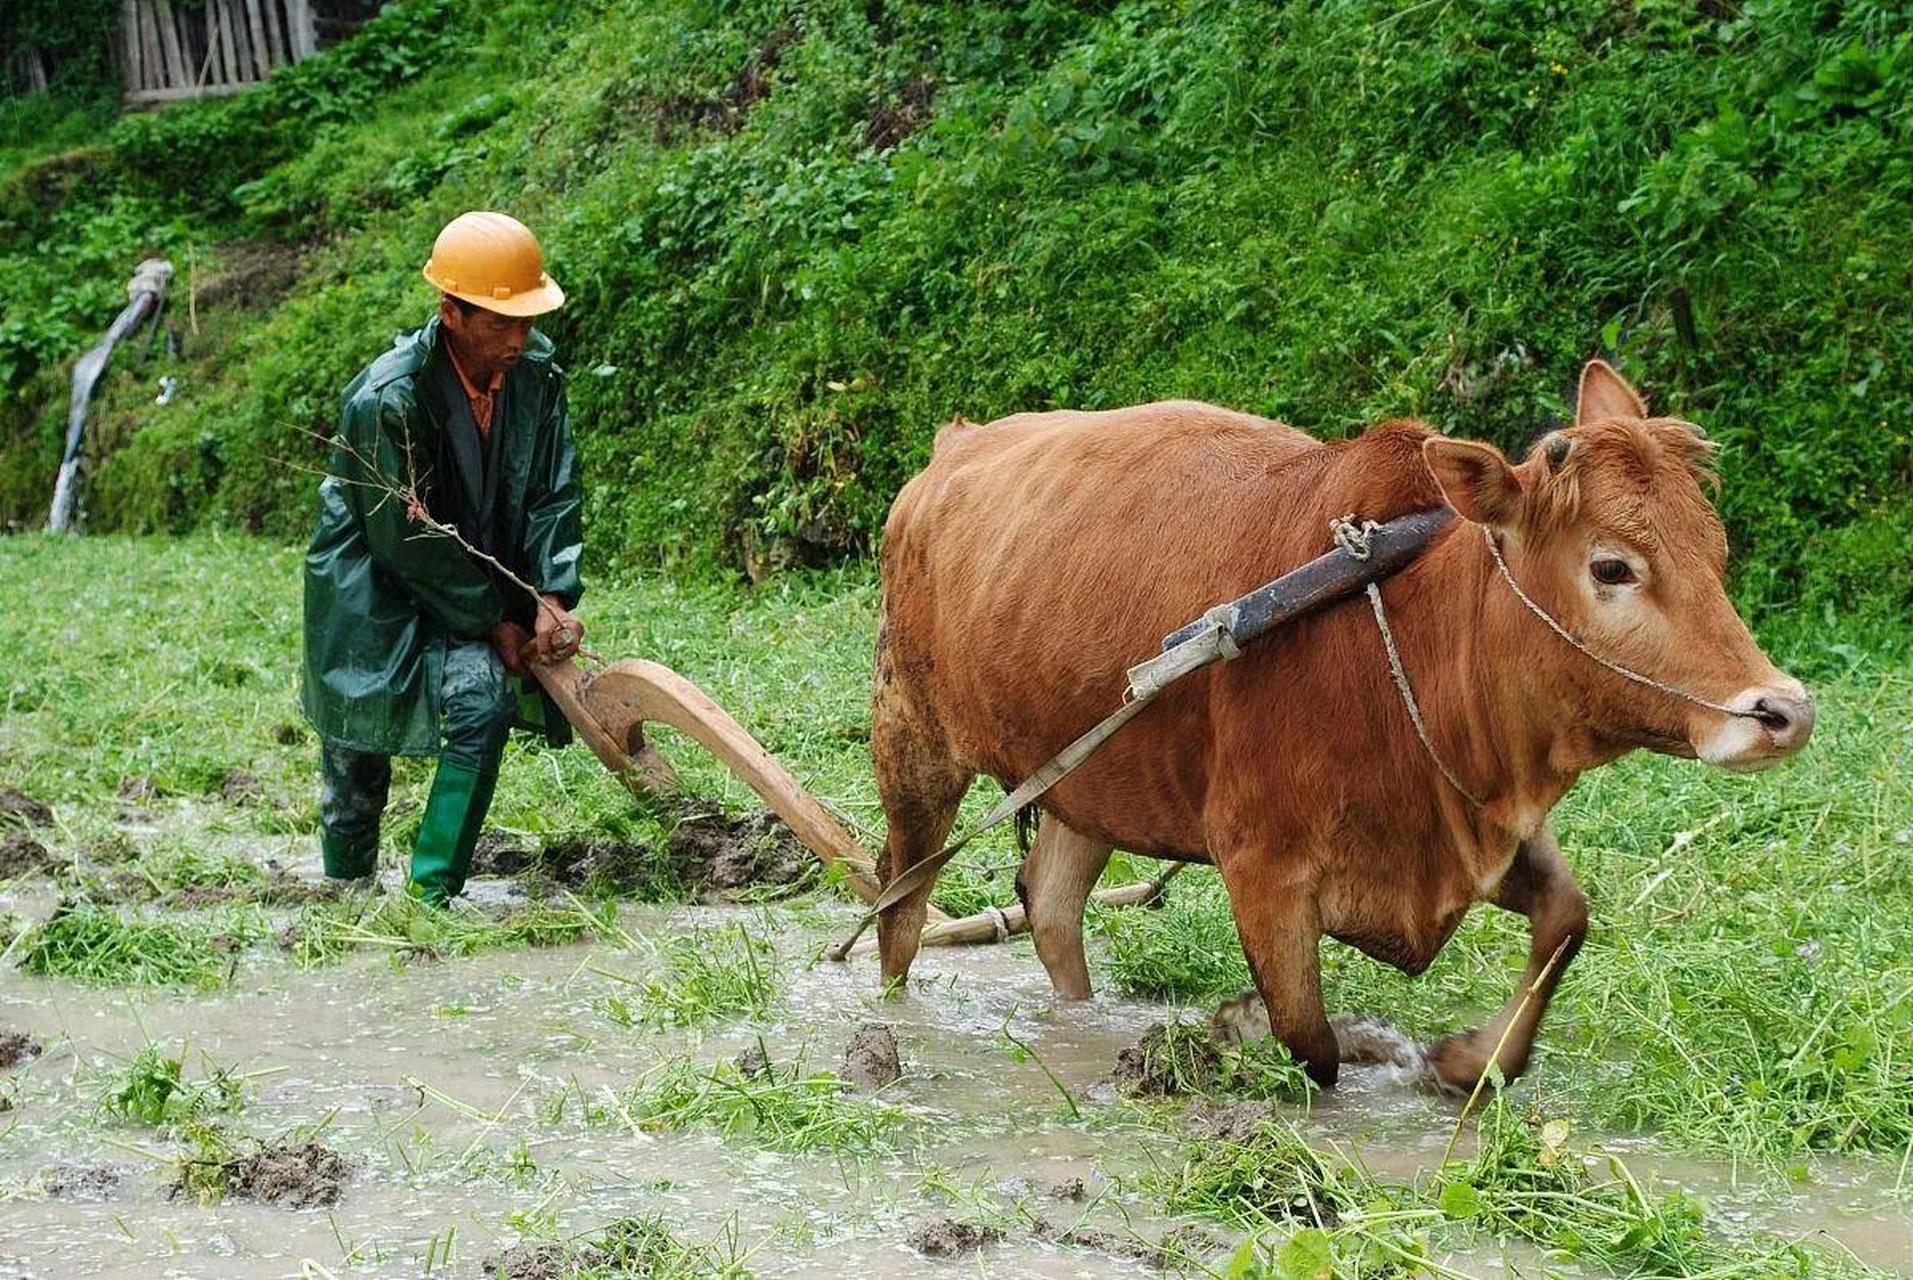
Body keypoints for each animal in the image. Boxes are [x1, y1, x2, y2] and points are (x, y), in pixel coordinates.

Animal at [876, 357, 1813, 1086]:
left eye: (1716, 553)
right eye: (1612, 567)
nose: (1784, 712)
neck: (1405, 632)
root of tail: (951, 448)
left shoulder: (1474, 819)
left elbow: (1566, 919)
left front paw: (1469, 1059)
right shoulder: (1263, 874)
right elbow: (1313, 1047)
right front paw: (1250, 1031)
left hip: (1090, 774)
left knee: (1050, 903)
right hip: (911, 743)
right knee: (900, 909)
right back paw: (886, 1025)